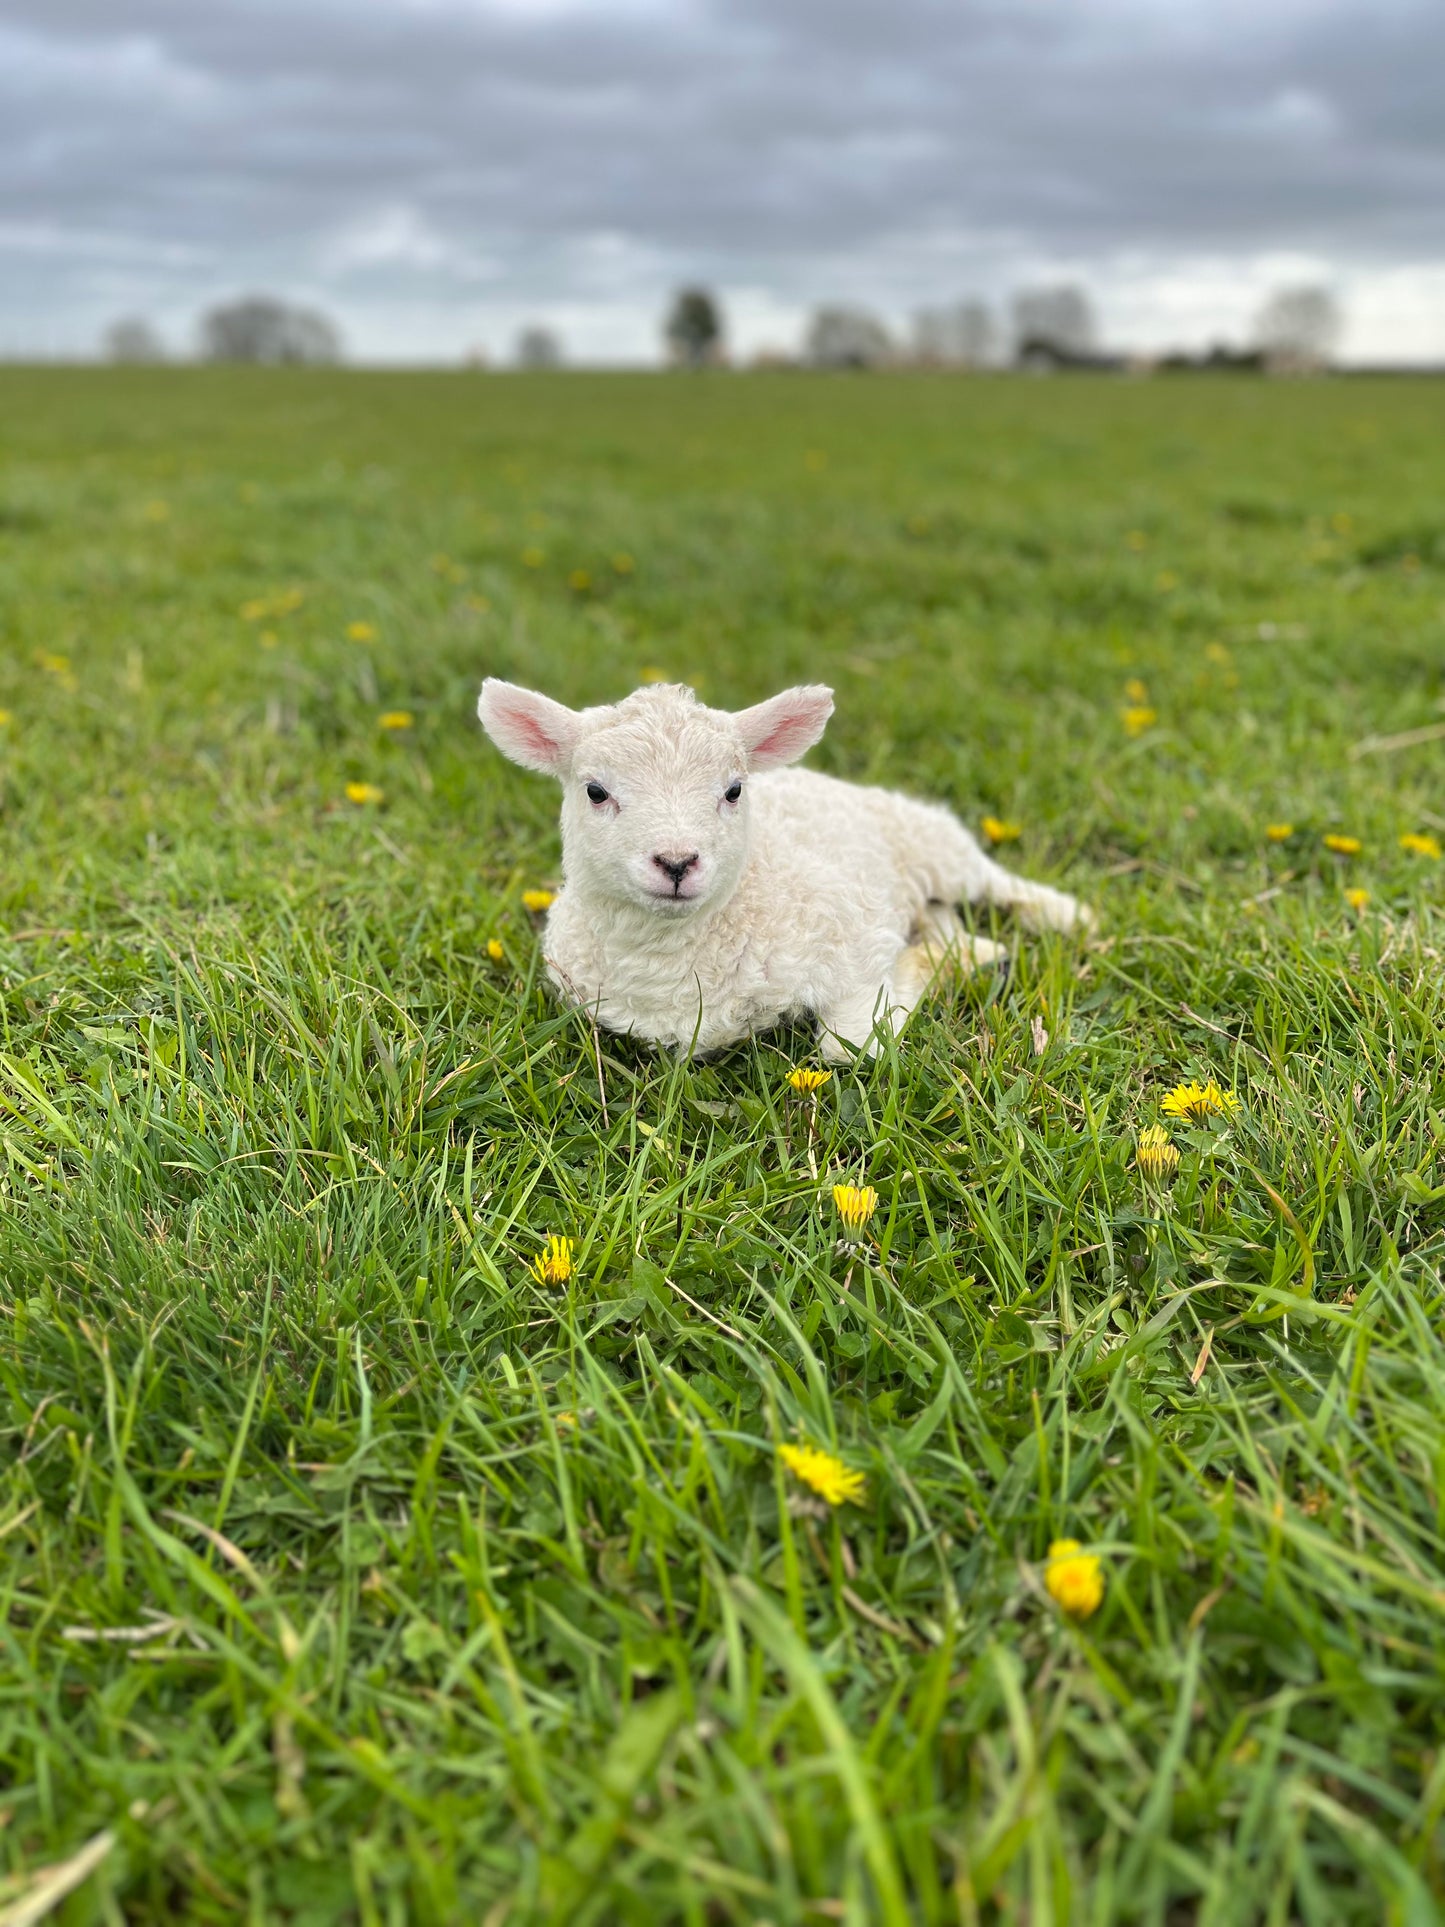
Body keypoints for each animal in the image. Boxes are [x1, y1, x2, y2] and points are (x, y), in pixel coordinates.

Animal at [478, 678, 1092, 1059]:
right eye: (595, 791)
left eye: (733, 790)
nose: (677, 863)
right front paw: (942, 963)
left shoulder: (857, 931)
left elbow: (848, 1046)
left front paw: (916, 977)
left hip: (932, 842)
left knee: (993, 881)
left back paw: (1066, 916)